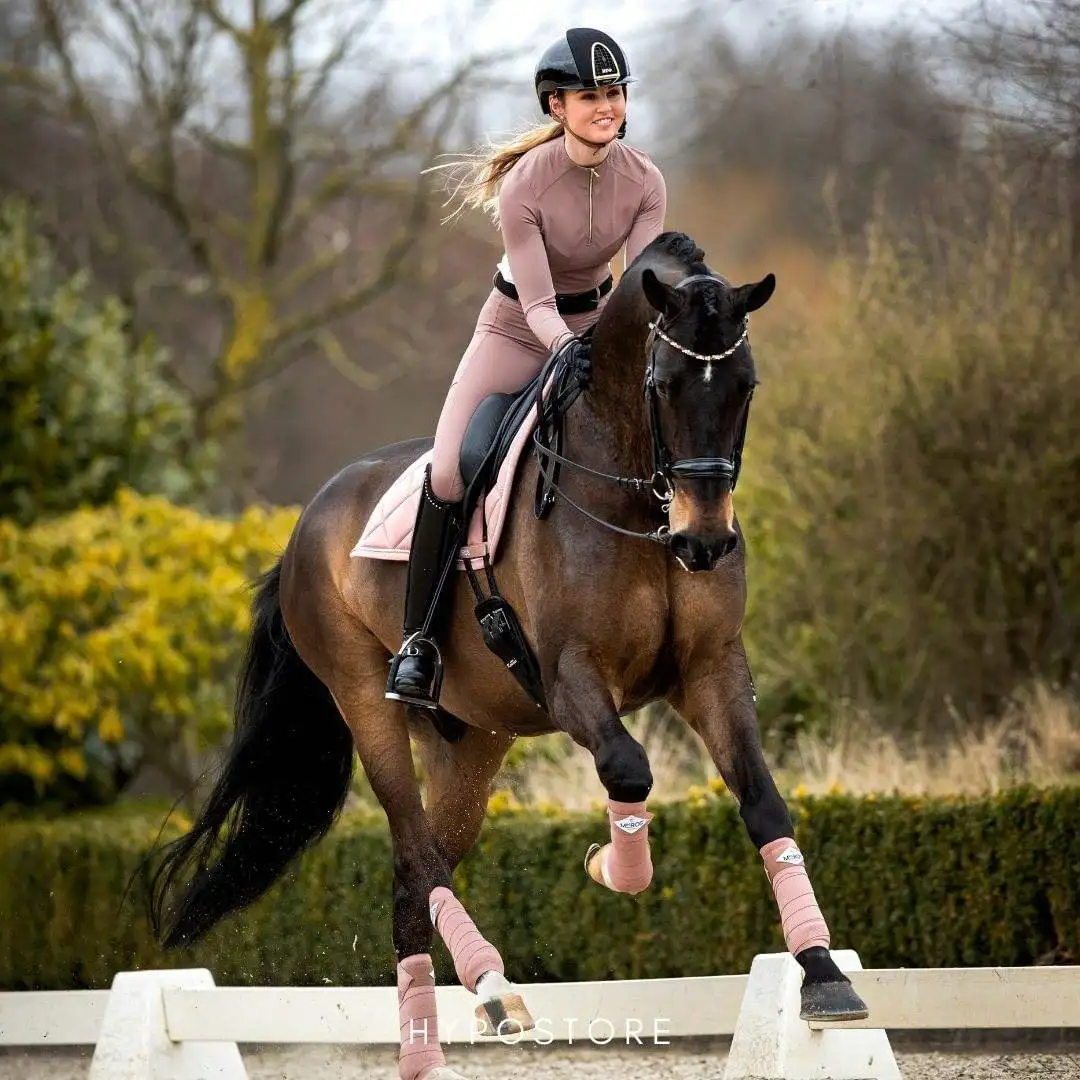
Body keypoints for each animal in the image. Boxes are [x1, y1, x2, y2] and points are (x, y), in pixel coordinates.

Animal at [147, 230, 869, 1080]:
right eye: (663, 385)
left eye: (746, 388)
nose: (705, 543)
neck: (636, 498)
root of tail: (304, 525)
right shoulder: (570, 679)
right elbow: (629, 768)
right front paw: (610, 866)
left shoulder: (712, 671)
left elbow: (763, 800)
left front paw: (822, 974)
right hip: (365, 698)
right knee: (414, 849)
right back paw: (494, 985)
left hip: (472, 743)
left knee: (414, 877)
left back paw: (431, 1048)